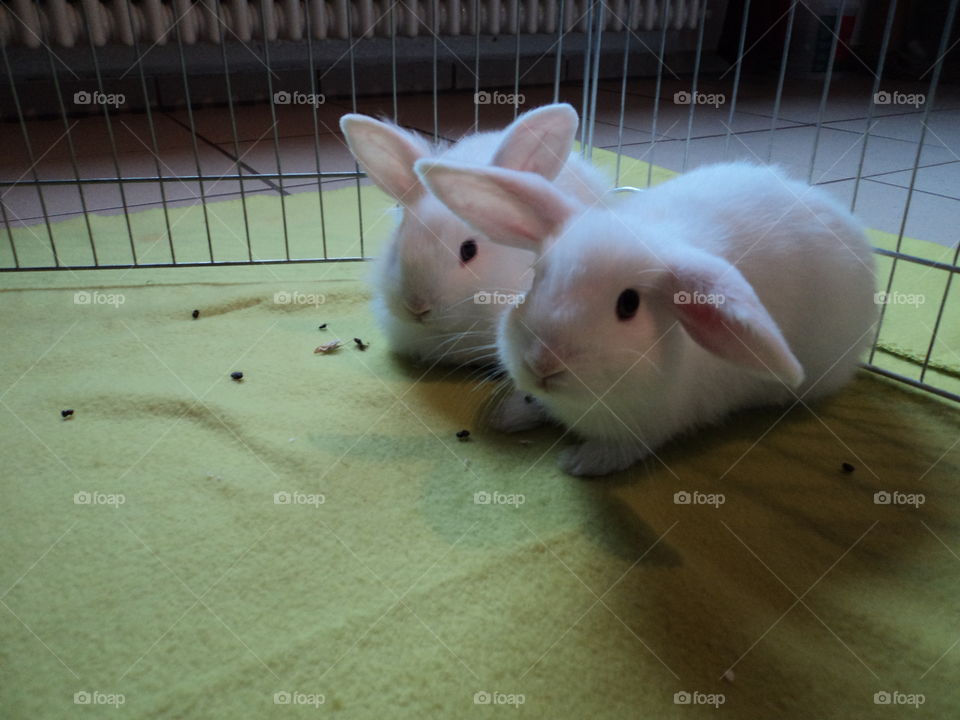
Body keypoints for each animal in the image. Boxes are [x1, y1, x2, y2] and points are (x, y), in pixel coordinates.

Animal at [414, 159, 878, 476]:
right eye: (537, 275)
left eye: (628, 305)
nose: (543, 363)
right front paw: (510, 415)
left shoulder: (651, 425)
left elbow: (621, 450)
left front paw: (578, 461)